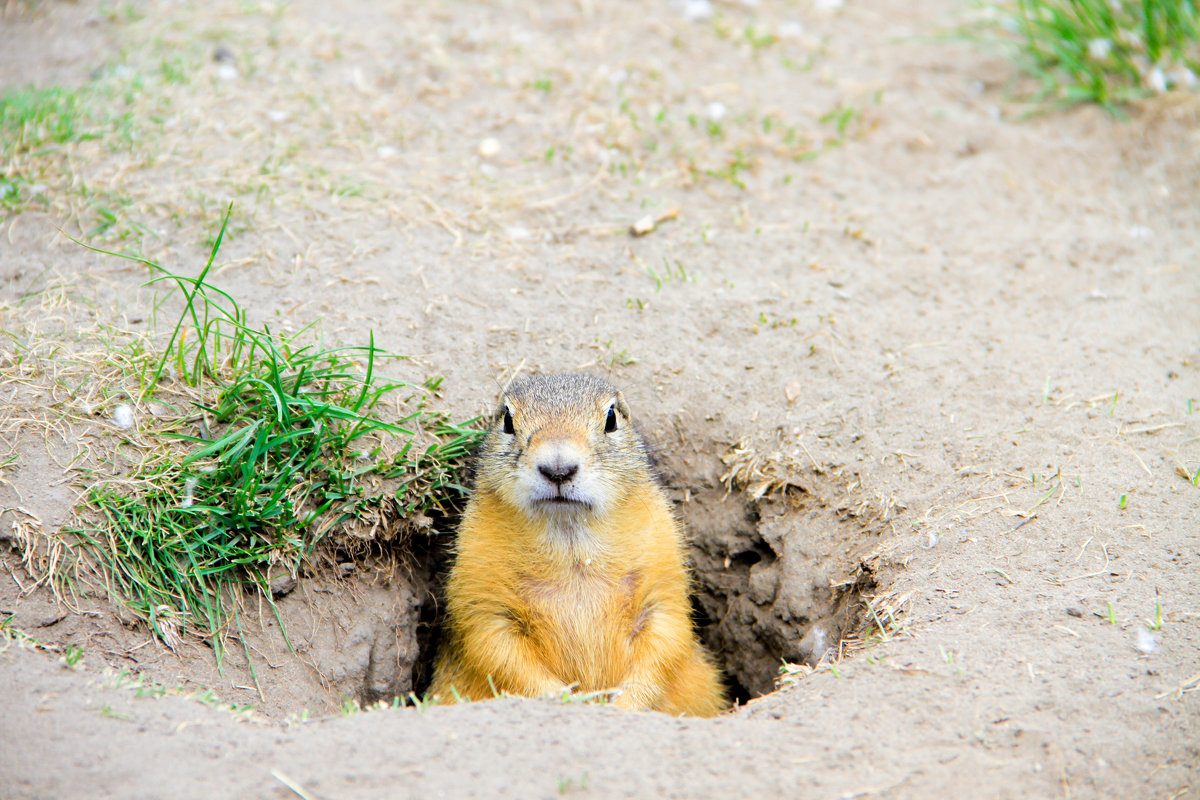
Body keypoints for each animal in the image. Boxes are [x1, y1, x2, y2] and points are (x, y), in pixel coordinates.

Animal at [436, 376, 724, 719]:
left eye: (611, 418)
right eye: (507, 420)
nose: (558, 468)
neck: (570, 539)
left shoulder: (662, 575)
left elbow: (666, 637)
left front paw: (624, 703)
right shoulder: (482, 589)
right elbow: (495, 646)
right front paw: (568, 699)